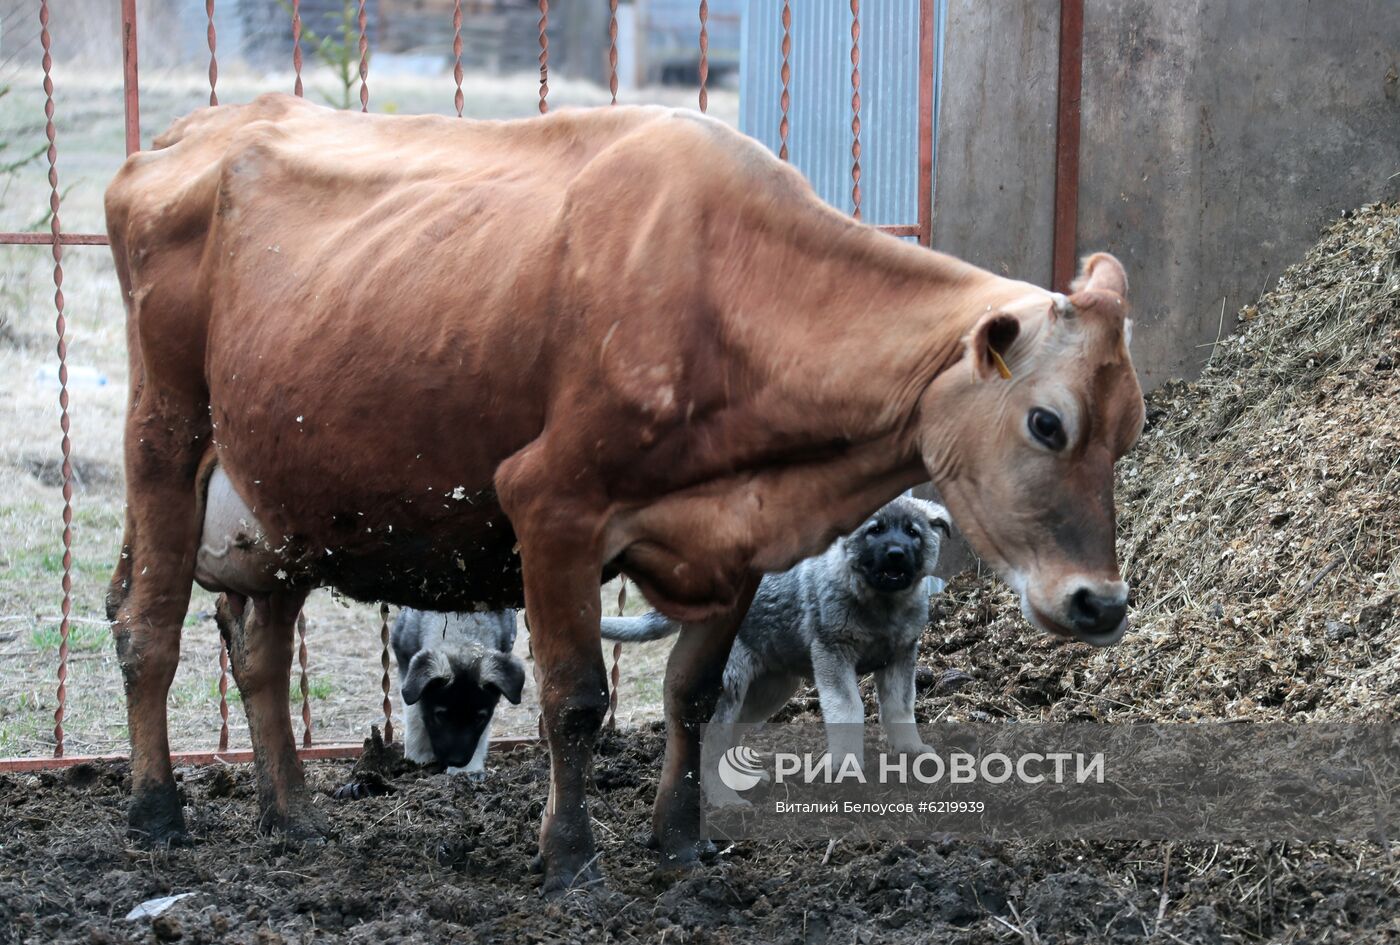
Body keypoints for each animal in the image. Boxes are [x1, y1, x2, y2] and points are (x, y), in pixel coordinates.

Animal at [602, 495, 952, 806]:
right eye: (875, 530)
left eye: (912, 532)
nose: (896, 554)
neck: (881, 604)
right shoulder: (833, 654)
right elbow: (849, 709)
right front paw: (846, 765)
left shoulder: (900, 657)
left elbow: (900, 708)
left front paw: (911, 751)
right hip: (730, 689)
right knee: (711, 744)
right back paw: (725, 800)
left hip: (771, 690)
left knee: (731, 736)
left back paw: (740, 780)